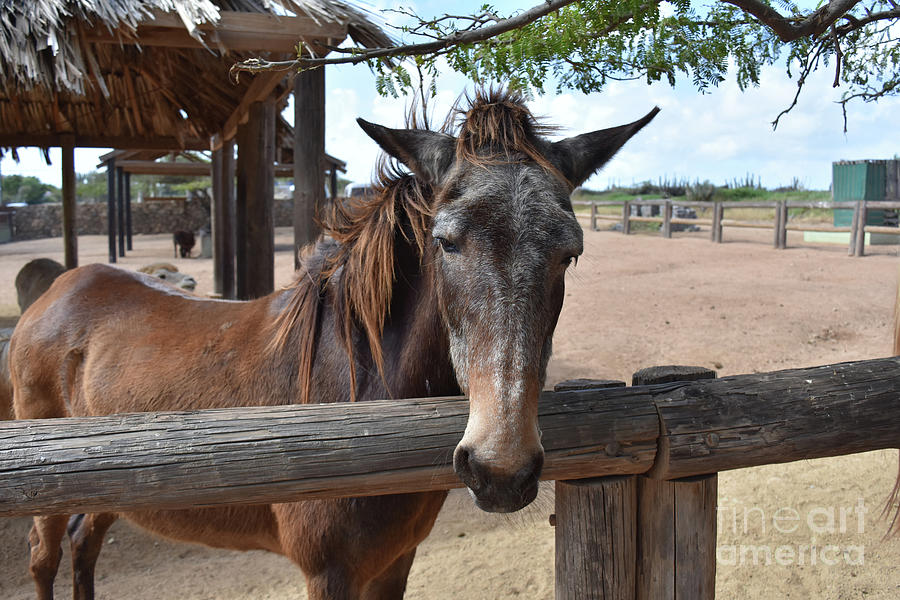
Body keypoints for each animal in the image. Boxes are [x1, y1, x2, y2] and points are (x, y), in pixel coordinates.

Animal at [10, 89, 657, 600]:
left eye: (569, 252)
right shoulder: (330, 574)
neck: (355, 394)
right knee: (44, 557)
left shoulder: (394, 562)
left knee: (84, 544)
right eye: (446, 241)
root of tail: (56, 290)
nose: (501, 469)